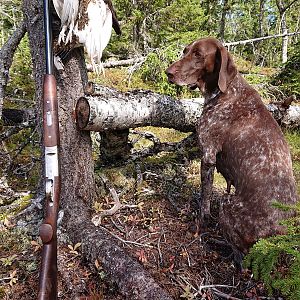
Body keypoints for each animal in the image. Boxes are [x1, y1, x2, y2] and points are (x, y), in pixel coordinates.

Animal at [166, 37, 298, 258]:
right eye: (185, 51)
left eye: (198, 54)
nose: (168, 73)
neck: (224, 91)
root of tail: (278, 236)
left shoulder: (208, 155)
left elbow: (205, 200)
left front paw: (200, 222)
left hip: (227, 203)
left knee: (240, 256)